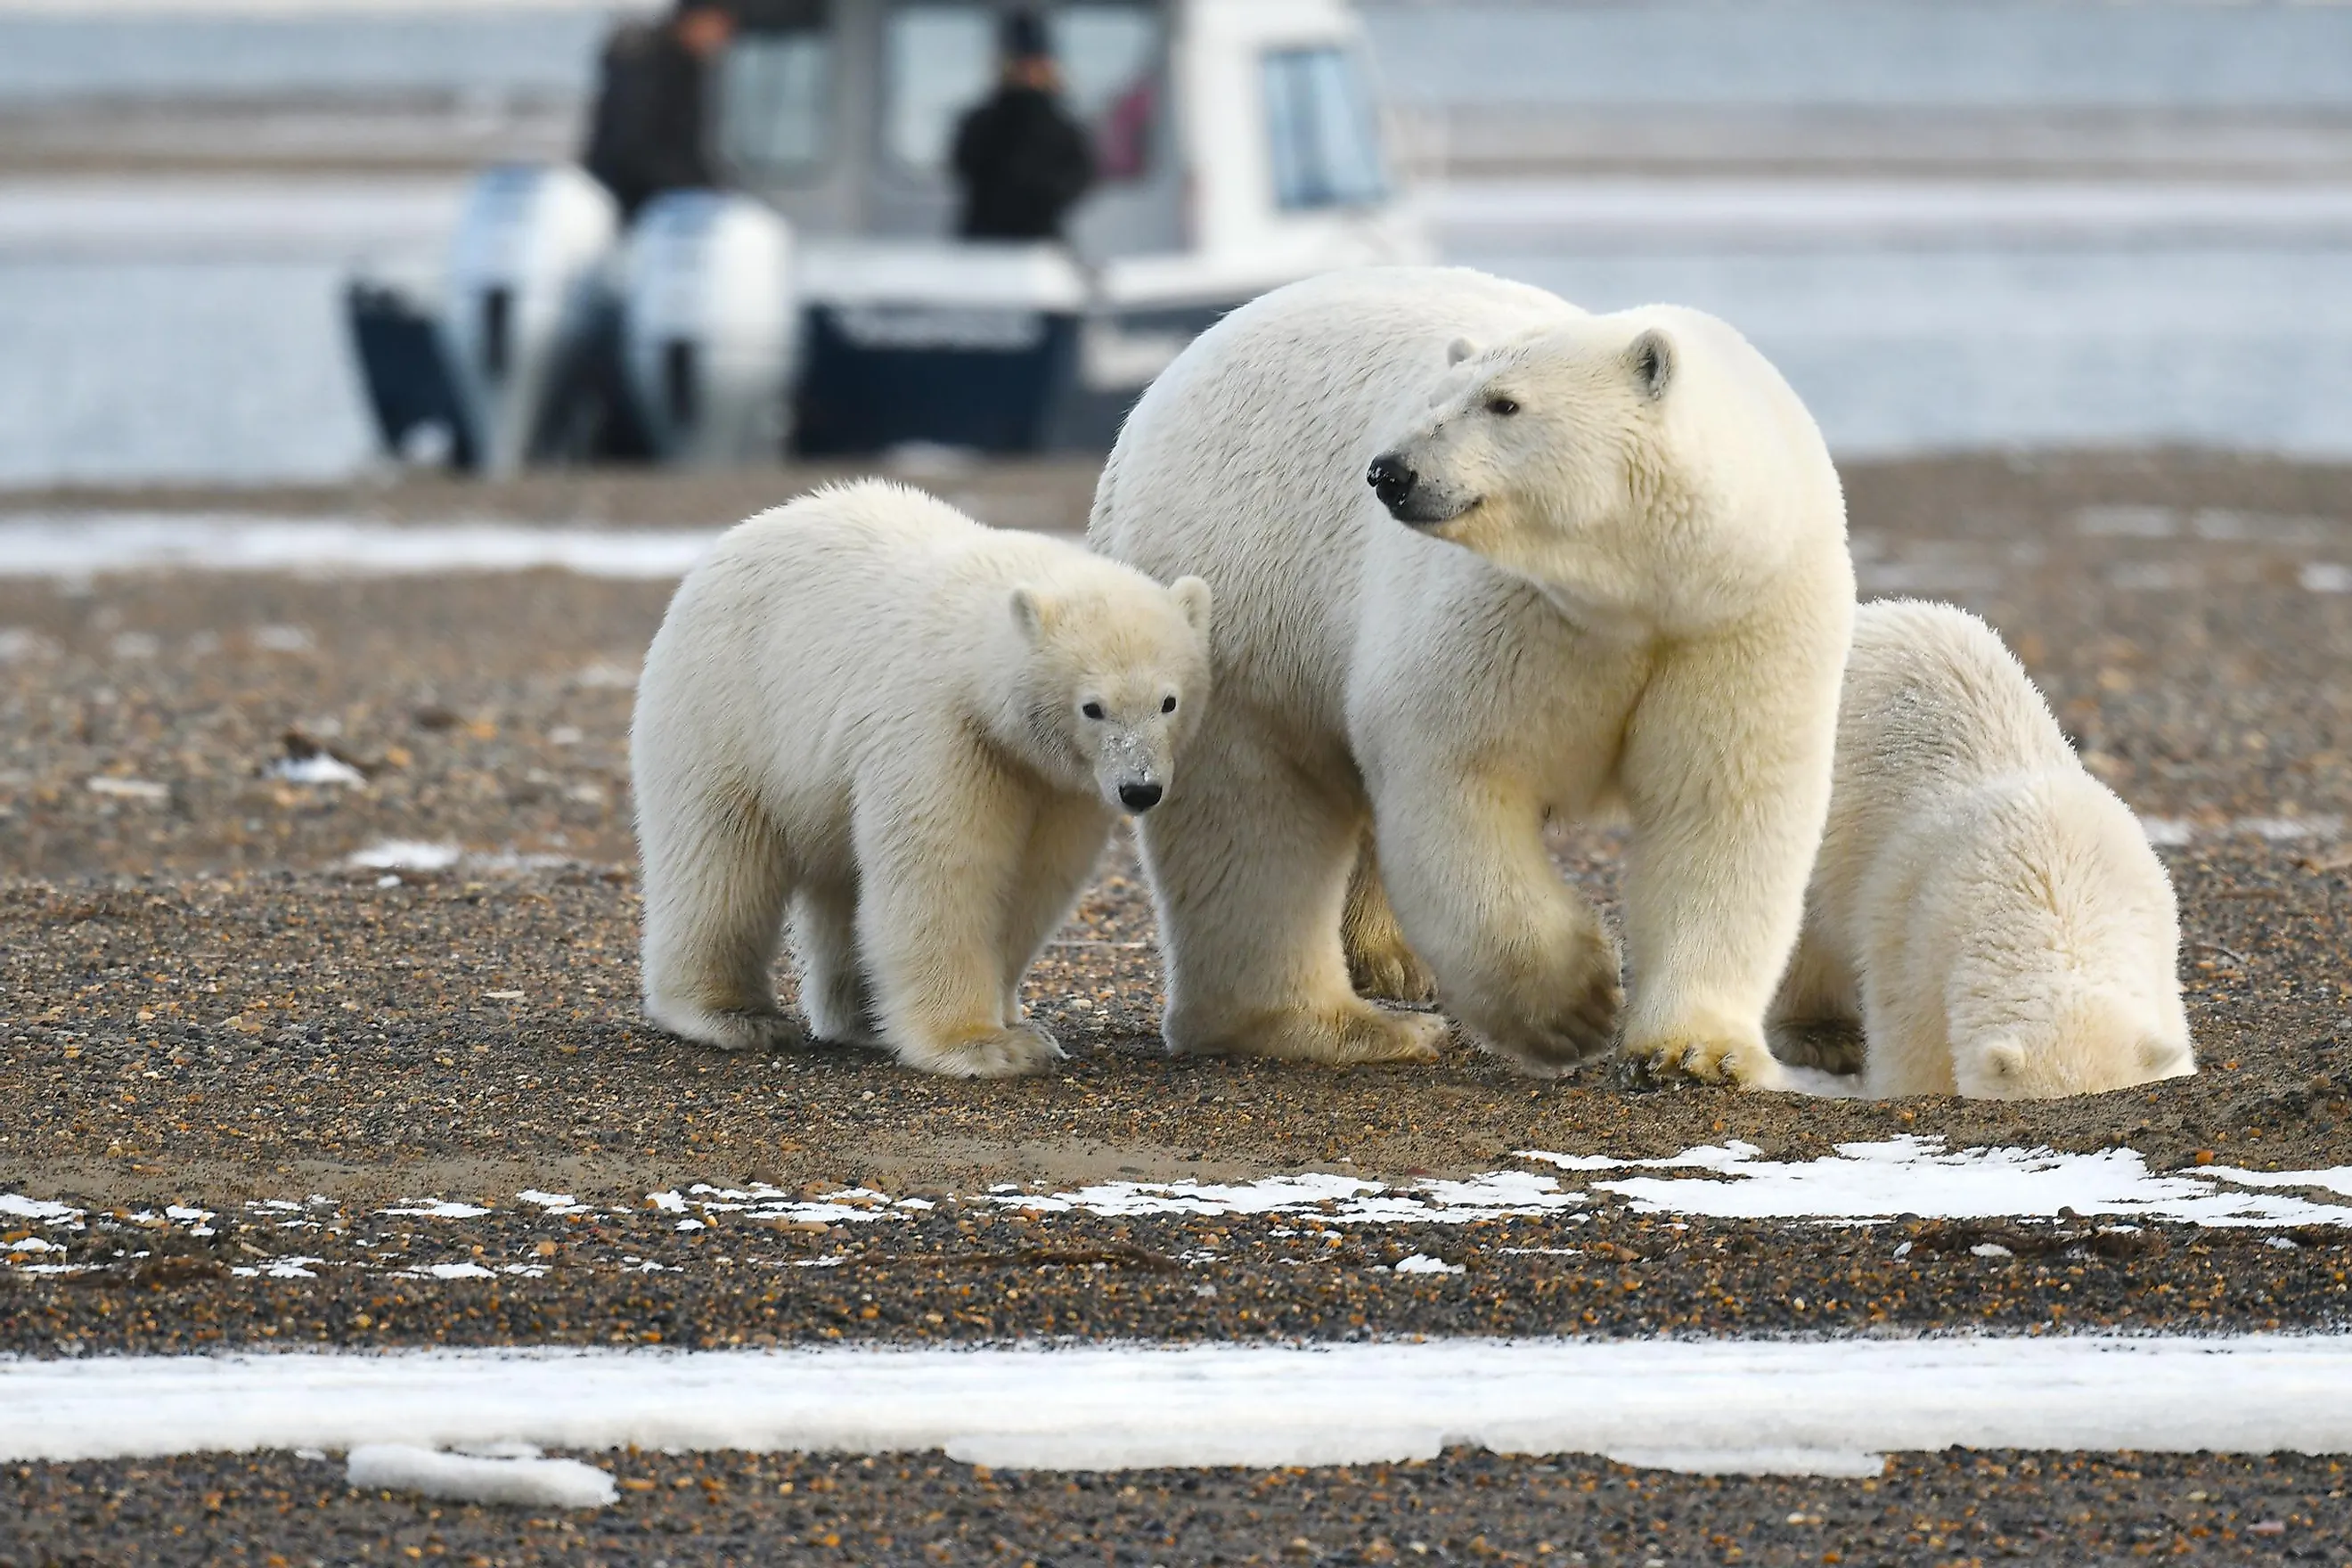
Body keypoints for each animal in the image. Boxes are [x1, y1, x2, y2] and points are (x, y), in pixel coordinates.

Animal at [630, 484, 1213, 1086]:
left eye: (1168, 701)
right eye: (1092, 707)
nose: (1139, 789)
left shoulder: (1056, 784)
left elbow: (1032, 881)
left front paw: (1021, 1025)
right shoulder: (940, 730)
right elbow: (943, 871)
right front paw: (986, 1046)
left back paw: (862, 1016)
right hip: (726, 708)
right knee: (722, 862)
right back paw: (734, 1014)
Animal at [1086, 266, 1853, 1081]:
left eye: (1504, 402)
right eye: (1435, 399)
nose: (1389, 472)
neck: (1634, 595)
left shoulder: (1735, 618)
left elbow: (1721, 803)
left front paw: (1692, 1051)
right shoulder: (1510, 612)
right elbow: (1461, 772)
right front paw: (1576, 1003)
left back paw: (1383, 962)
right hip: (1239, 585)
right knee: (1251, 810)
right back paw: (1341, 1025)